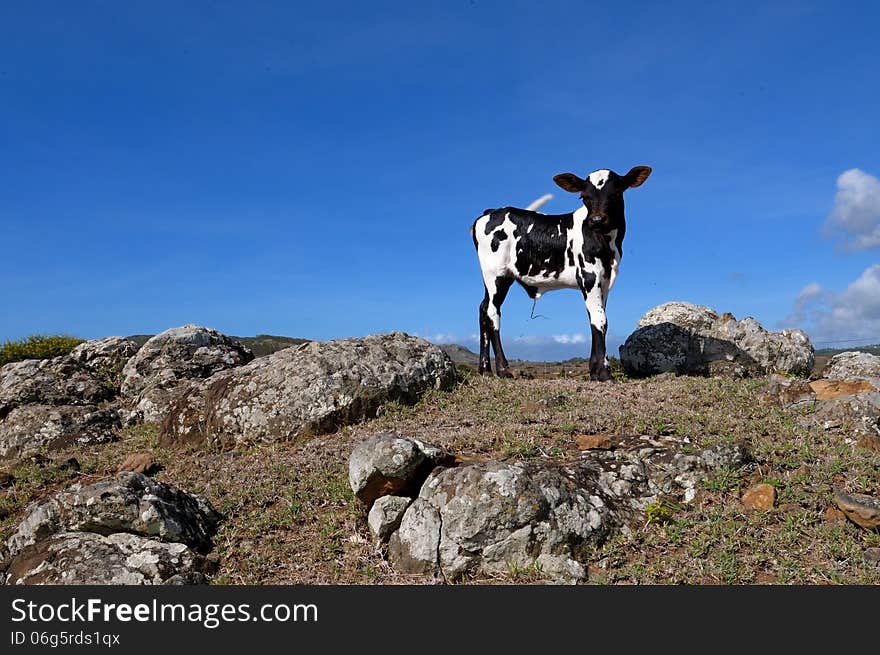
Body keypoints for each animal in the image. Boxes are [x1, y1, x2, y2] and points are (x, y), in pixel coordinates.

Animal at [470, 164, 648, 382]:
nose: (597, 220)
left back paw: (485, 369)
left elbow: (596, 318)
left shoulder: (605, 281)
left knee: (482, 309)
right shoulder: (589, 277)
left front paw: (595, 370)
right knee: (492, 312)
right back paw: (503, 369)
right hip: (497, 275)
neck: (608, 243)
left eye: (616, 192)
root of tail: (491, 212)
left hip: (499, 278)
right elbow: (600, 320)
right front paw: (604, 373)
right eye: (583, 196)